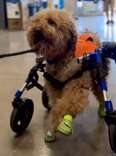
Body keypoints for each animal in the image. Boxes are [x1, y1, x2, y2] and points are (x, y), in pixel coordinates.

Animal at [27, 9, 109, 142]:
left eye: (51, 22)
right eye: (35, 21)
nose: (37, 29)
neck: (60, 59)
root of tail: (91, 36)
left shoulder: (76, 89)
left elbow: (61, 107)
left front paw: (60, 123)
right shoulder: (54, 88)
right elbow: (58, 104)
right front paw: (53, 128)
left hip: (98, 77)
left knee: (101, 93)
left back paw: (103, 109)